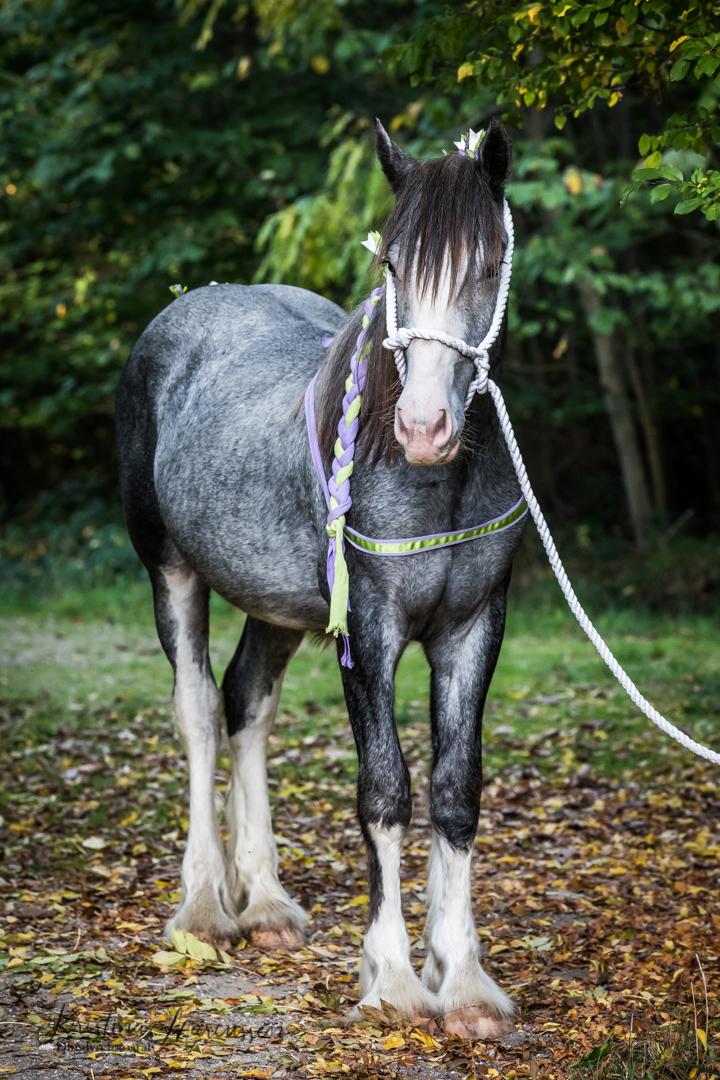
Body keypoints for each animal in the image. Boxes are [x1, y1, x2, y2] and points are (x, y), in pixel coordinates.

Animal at [117, 118, 524, 1036]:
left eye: (487, 264)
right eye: (394, 266)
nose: (423, 427)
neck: (433, 485)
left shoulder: (474, 627)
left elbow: (456, 790)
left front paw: (463, 983)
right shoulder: (368, 631)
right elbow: (385, 791)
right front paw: (395, 979)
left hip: (274, 606)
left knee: (247, 703)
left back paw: (265, 904)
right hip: (172, 572)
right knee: (199, 711)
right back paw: (205, 910)